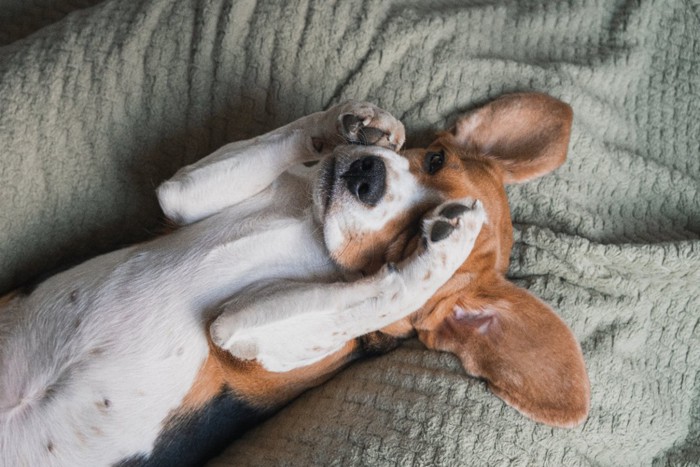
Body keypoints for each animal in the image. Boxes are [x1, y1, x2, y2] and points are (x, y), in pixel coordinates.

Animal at [0, 93, 592, 466]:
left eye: (403, 243)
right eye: (433, 157)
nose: (366, 174)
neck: (311, 229)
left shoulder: (238, 332)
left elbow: (385, 291)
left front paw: (448, 244)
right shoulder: (182, 197)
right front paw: (359, 121)